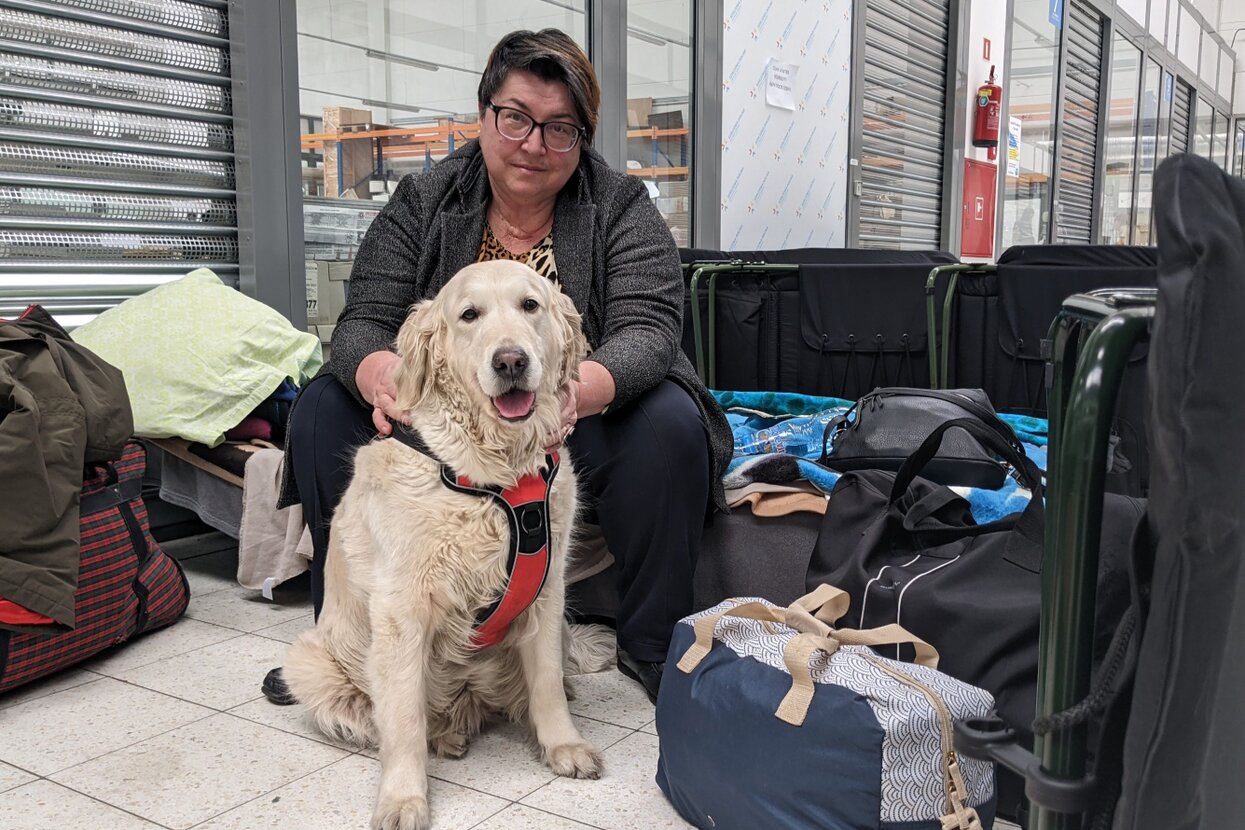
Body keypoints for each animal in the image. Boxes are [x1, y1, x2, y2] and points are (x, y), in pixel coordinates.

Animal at [286, 261, 607, 830]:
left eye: (530, 305)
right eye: (468, 315)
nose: (510, 360)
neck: (493, 473)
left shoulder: (547, 594)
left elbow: (547, 681)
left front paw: (563, 746)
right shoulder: (401, 610)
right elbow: (403, 719)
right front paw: (403, 799)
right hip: (308, 664)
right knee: (391, 715)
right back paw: (444, 736)